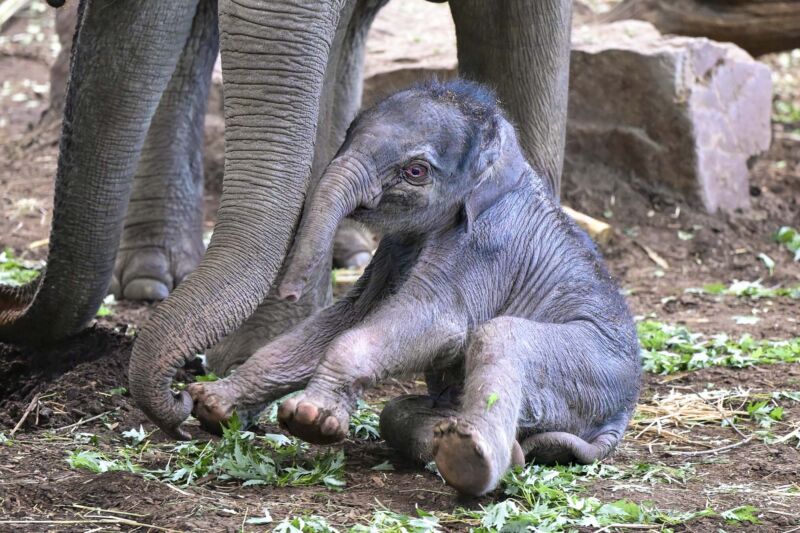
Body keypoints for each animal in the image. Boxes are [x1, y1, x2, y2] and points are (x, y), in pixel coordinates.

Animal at [187, 80, 642, 496]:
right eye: (349, 133)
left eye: (415, 171)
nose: (291, 292)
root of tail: (622, 414)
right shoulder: (392, 252)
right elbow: (343, 320)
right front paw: (210, 405)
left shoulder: (482, 246)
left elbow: (435, 324)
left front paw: (309, 419)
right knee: (396, 414)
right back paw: (495, 449)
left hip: (590, 369)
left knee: (500, 335)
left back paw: (469, 458)